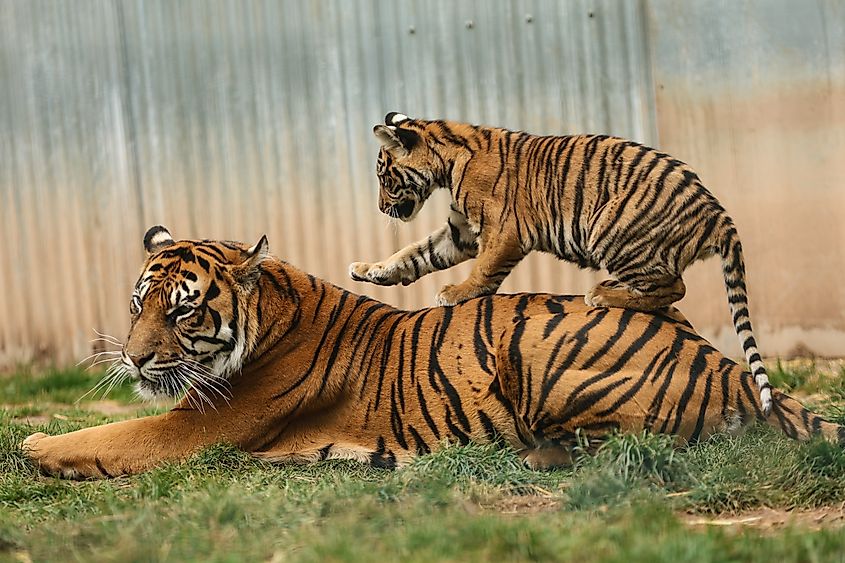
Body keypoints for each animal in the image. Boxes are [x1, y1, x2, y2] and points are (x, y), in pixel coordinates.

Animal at [23, 226, 842, 479]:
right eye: (139, 303)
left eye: (183, 308)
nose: (133, 361)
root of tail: (721, 359)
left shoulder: (200, 426)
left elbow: (110, 437)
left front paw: (30, 445)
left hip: (543, 349)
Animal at [349, 112, 773, 414]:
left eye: (384, 176)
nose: (381, 207)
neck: (447, 158)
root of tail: (715, 212)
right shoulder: (460, 233)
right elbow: (415, 254)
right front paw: (370, 270)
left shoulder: (502, 232)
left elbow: (482, 270)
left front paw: (456, 292)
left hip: (611, 229)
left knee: (674, 287)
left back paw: (601, 294)